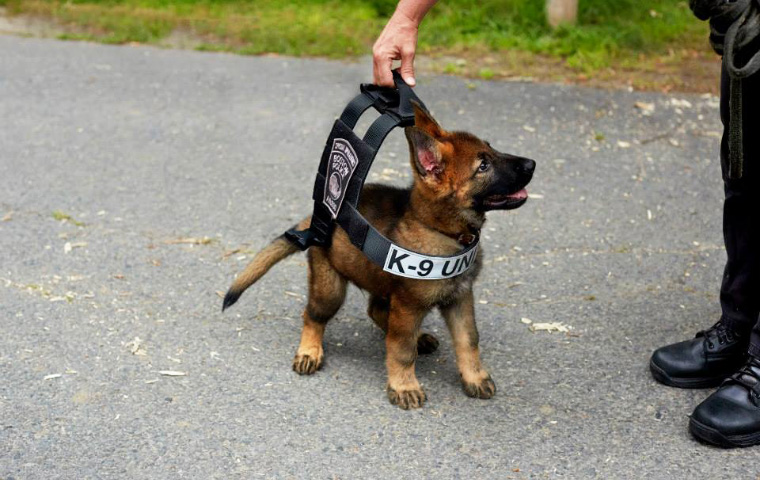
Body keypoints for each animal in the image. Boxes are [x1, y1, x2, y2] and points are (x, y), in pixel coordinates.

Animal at [224, 103, 536, 410]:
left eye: (491, 149)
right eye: (483, 166)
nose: (532, 164)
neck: (442, 231)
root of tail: (316, 219)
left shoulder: (460, 298)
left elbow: (468, 340)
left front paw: (474, 377)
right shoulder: (409, 306)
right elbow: (401, 350)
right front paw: (404, 385)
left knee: (376, 311)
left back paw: (418, 337)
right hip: (330, 288)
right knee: (313, 315)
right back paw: (309, 351)